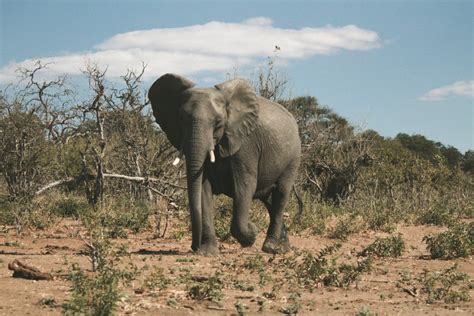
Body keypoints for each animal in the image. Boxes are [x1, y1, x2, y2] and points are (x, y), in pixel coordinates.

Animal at [148, 73, 300, 254]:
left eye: (219, 121)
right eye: (181, 118)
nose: (194, 246)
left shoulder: (245, 144)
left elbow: (244, 186)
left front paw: (251, 234)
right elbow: (203, 188)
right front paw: (207, 252)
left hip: (293, 158)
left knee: (281, 194)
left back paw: (270, 247)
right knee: (269, 200)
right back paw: (283, 248)